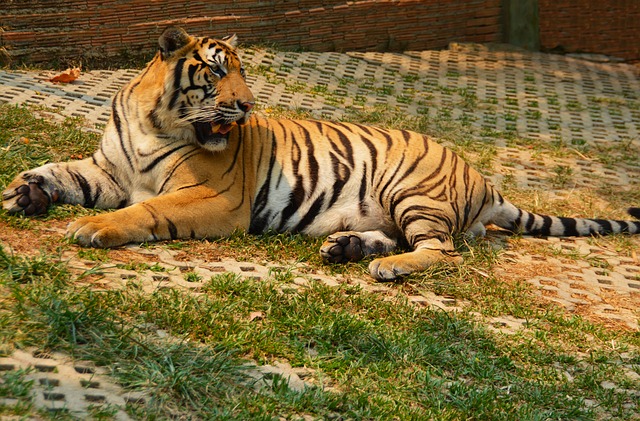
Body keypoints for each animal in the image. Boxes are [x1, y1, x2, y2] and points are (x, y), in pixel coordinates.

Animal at [1, 27, 640, 280]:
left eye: (240, 72)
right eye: (216, 72)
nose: (247, 105)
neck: (152, 122)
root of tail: (484, 180)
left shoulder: (215, 197)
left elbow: (144, 210)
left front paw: (96, 228)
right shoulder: (109, 170)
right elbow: (65, 173)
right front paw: (26, 191)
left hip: (412, 192)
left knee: (440, 251)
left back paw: (387, 267)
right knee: (402, 238)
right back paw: (348, 248)